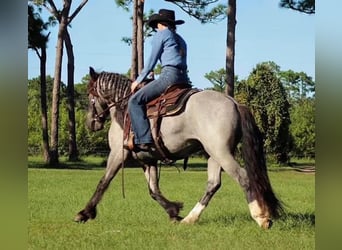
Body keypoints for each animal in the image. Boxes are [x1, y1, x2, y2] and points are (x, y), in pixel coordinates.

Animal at [74, 66, 284, 229]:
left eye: (90, 95)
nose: (90, 123)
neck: (124, 107)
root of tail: (233, 102)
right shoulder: (148, 159)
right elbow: (154, 190)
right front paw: (174, 211)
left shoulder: (118, 153)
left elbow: (104, 181)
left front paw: (84, 213)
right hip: (214, 154)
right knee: (213, 184)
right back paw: (190, 218)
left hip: (222, 153)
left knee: (243, 177)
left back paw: (261, 217)